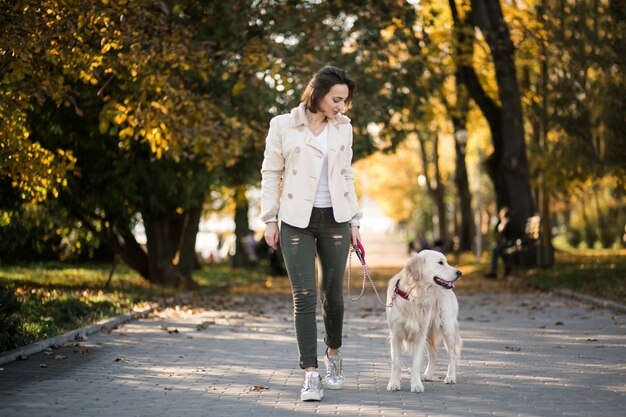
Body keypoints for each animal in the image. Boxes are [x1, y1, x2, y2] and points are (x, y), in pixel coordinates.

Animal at [382, 249, 460, 392]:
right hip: (429, 332)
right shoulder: (396, 334)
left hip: (446, 327)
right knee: (434, 354)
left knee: (452, 354)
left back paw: (450, 377)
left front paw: (416, 385)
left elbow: (416, 363)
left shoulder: (419, 335)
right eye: (440, 262)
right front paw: (394, 383)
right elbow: (396, 363)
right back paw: (428, 375)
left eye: (446, 261)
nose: (460, 272)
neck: (414, 294)